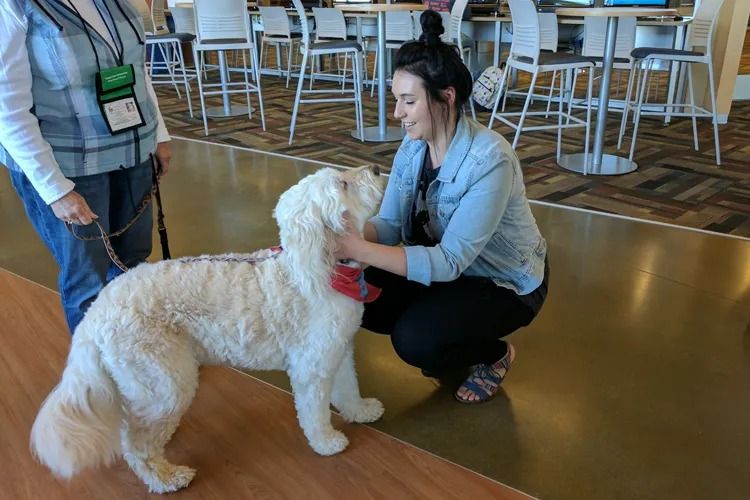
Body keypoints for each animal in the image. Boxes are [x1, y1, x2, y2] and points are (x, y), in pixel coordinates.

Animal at [30, 166, 388, 494]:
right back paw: (167, 478)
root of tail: (95, 312)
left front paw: (361, 411)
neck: (319, 270)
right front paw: (327, 442)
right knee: (136, 444)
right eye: (343, 183)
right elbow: (314, 412)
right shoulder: (312, 367)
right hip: (165, 381)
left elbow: (348, 387)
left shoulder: (339, 349)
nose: (375, 169)